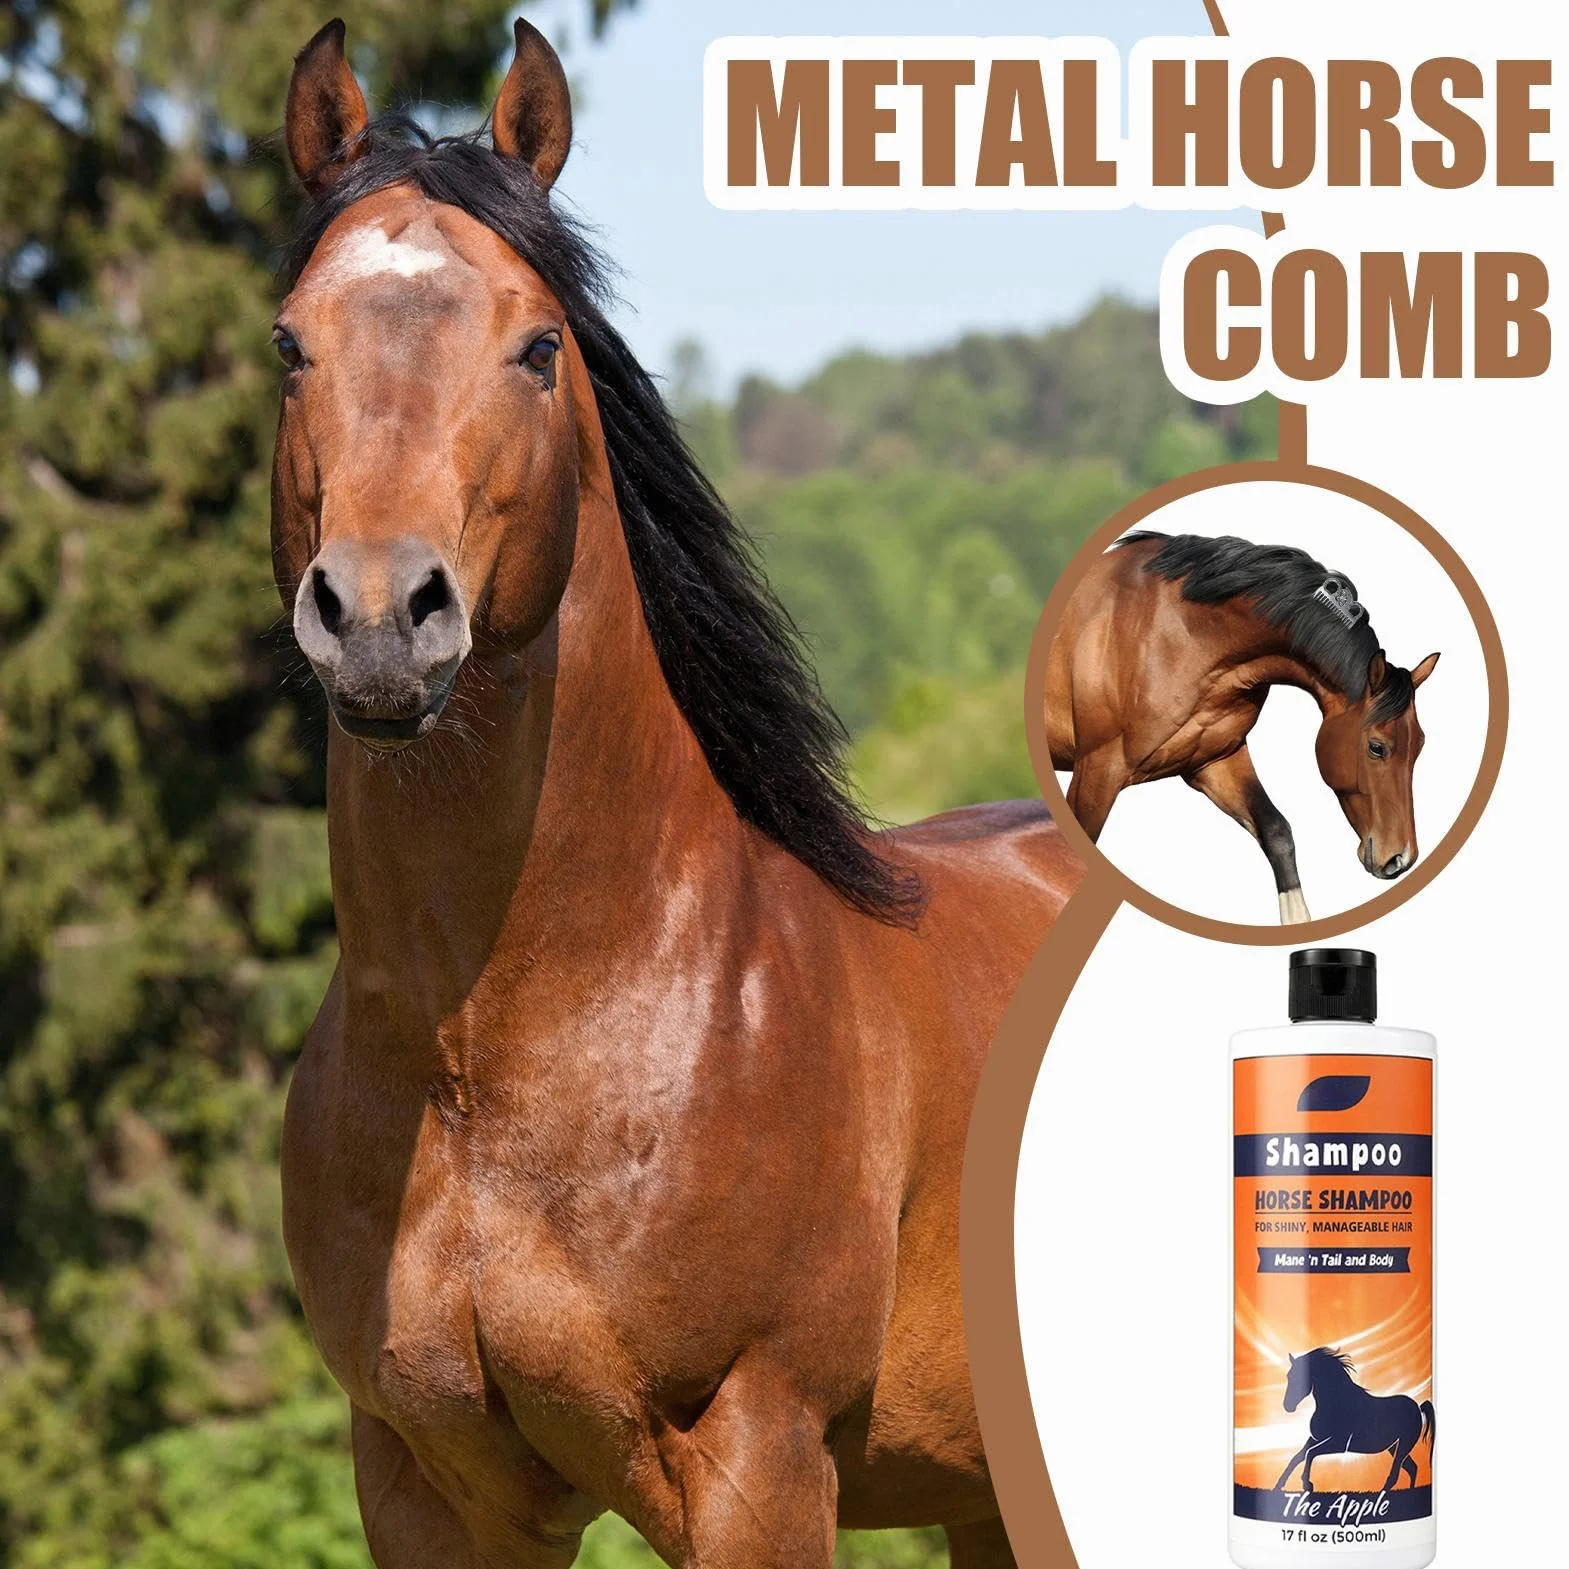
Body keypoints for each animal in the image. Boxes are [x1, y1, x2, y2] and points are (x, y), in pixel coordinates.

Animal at [1043, 531, 1439, 924]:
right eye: (1377, 747)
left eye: (1419, 746)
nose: (1400, 858)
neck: (1178, 634)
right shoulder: (1098, 768)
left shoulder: (1214, 761)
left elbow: (1277, 832)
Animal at [1275, 1349, 1436, 1495]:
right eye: (1289, 1375)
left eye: (1301, 1375)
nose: (1287, 1406)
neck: (1337, 1403)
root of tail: (1417, 1406)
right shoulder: (1315, 1438)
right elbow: (1297, 1457)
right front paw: (1279, 1485)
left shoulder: (1340, 1443)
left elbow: (1310, 1453)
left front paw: (1307, 1484)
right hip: (1394, 1447)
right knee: (1412, 1468)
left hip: (1404, 1445)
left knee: (1395, 1475)